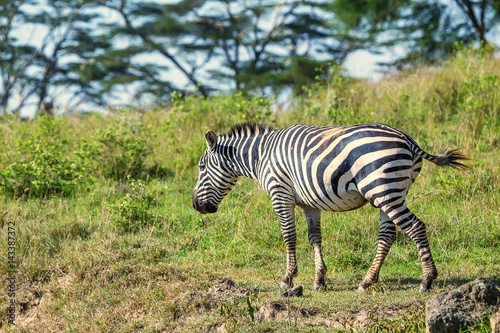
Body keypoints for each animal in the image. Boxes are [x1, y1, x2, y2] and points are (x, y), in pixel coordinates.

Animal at [191, 122, 468, 290]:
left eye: (201, 167)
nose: (196, 206)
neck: (262, 156)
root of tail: (407, 139)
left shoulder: (280, 193)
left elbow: (288, 236)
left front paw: (287, 278)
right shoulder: (308, 203)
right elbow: (315, 237)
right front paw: (319, 279)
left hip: (383, 189)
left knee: (416, 227)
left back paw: (427, 280)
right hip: (391, 192)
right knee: (388, 235)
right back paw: (367, 281)